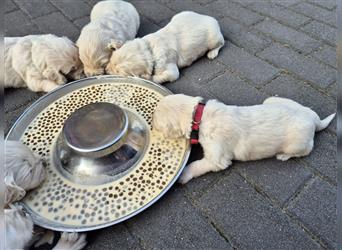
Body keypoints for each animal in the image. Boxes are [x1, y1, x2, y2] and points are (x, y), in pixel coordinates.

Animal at [153, 94, 336, 184]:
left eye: (156, 124)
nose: (152, 127)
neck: (199, 116)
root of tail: (314, 119)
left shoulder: (217, 159)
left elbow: (197, 165)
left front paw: (183, 175)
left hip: (297, 144)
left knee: (303, 151)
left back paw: (283, 156)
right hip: (272, 100)